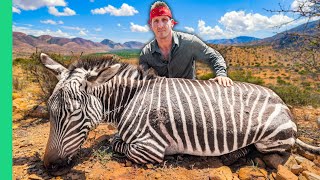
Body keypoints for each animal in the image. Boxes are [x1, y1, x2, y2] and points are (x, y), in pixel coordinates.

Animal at [40, 52, 320, 174]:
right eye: (51, 112)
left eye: (75, 113)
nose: (49, 166)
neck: (131, 99)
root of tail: (282, 101)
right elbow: (115, 139)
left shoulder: (149, 146)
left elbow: (117, 145)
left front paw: (172, 155)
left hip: (269, 141)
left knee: (266, 155)